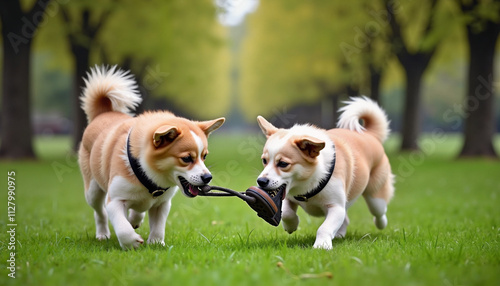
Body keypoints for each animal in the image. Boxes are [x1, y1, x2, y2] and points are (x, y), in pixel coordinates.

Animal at [77, 66, 225, 249]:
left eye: (204, 156)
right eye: (186, 159)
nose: (208, 177)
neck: (149, 178)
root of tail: (104, 113)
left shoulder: (162, 204)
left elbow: (158, 226)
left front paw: (156, 242)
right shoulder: (115, 200)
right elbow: (122, 228)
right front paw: (132, 243)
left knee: (137, 210)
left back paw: (135, 219)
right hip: (93, 191)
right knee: (100, 212)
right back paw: (103, 234)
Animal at [258, 97, 394, 249]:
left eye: (283, 164)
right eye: (264, 160)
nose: (261, 181)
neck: (307, 184)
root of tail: (369, 134)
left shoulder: (336, 207)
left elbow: (324, 228)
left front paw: (321, 245)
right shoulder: (289, 198)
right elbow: (287, 213)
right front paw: (291, 226)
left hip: (375, 197)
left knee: (379, 212)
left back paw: (381, 223)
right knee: (346, 220)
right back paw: (339, 235)